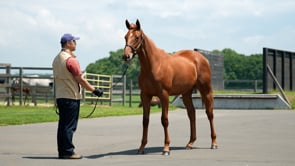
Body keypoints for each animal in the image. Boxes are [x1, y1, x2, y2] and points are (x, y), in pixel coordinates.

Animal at [122, 19, 217, 156]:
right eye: (125, 37)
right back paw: (190, 143)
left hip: (206, 90)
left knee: (209, 114)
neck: (154, 65)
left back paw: (214, 143)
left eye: (137, 37)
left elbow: (164, 120)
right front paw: (141, 147)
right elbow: (145, 120)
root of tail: (201, 58)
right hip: (186, 93)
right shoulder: (145, 95)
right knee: (191, 113)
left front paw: (166, 148)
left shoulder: (164, 95)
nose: (126, 56)